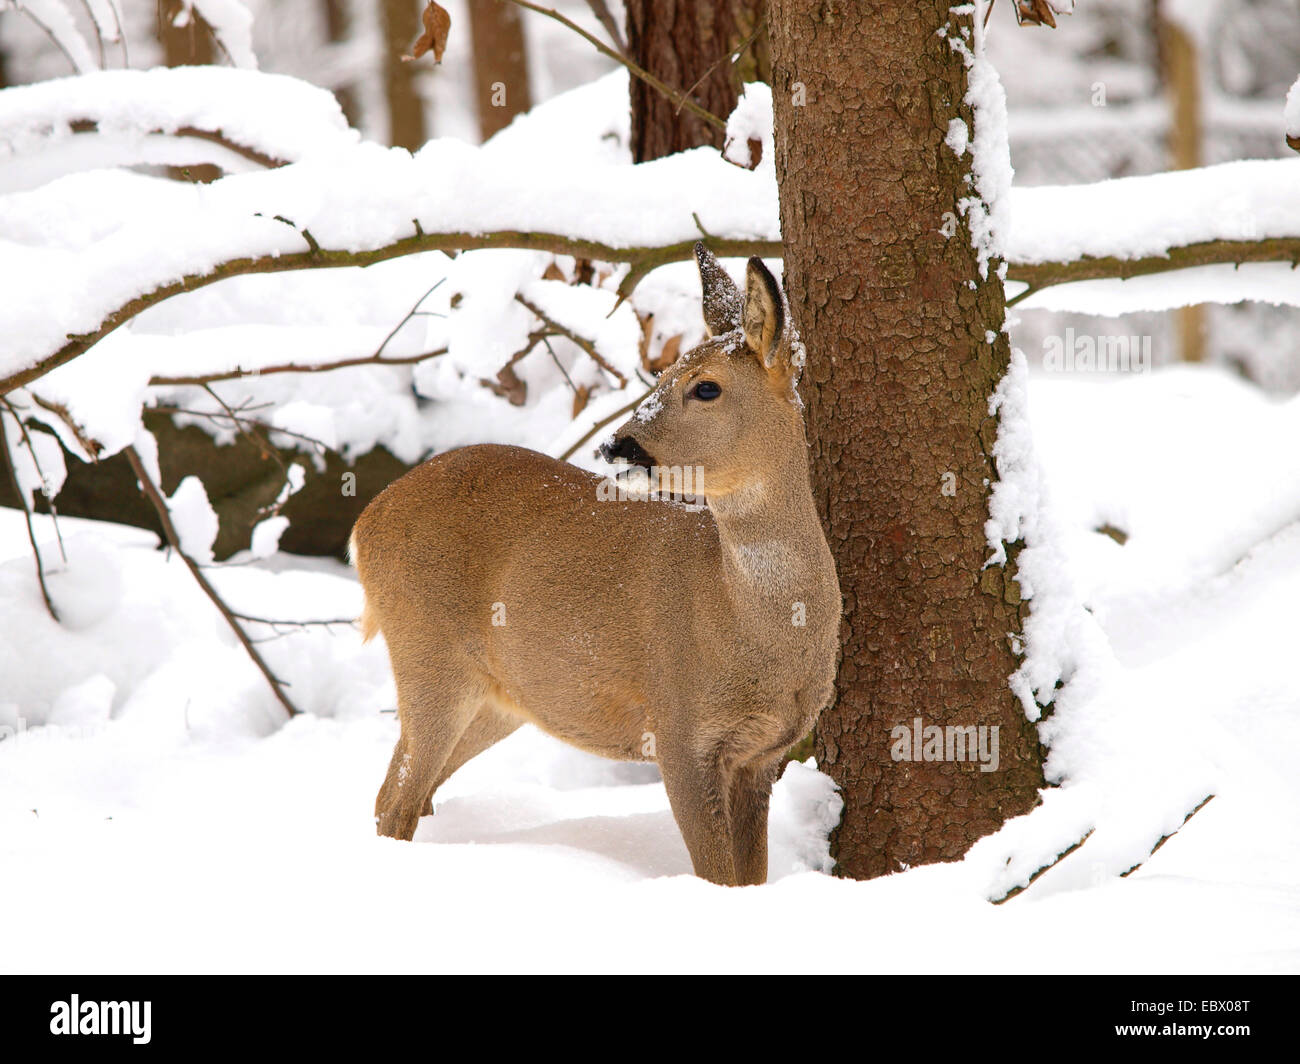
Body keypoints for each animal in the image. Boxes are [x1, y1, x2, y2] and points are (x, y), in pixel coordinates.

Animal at [353, 244, 842, 884]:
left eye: (706, 387)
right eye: (660, 373)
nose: (617, 445)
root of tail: (364, 524)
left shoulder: (762, 754)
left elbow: (750, 877)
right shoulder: (679, 729)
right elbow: (717, 876)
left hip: (500, 696)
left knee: (402, 790)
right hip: (427, 653)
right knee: (398, 796)